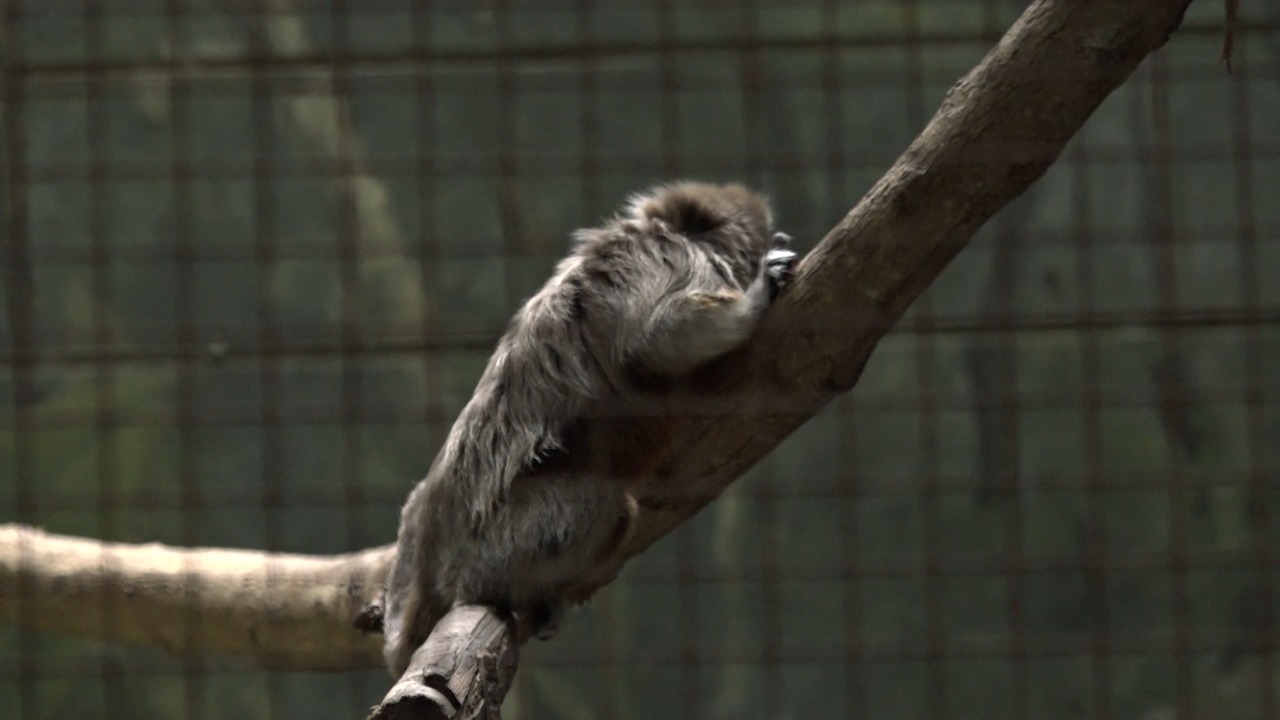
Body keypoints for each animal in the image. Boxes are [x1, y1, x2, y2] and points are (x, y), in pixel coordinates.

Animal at [378, 180, 798, 671]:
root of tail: (433, 549)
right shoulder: (664, 256)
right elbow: (653, 339)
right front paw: (757, 298)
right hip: (489, 551)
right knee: (603, 507)